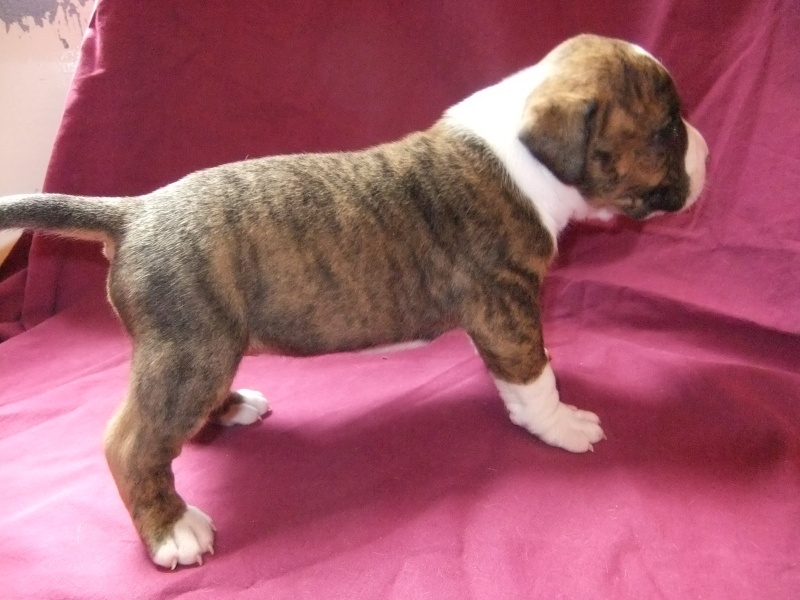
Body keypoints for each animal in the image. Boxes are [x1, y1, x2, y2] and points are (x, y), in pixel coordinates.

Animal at [0, 34, 708, 569]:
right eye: (666, 129)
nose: (706, 151)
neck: (521, 150)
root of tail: (133, 212)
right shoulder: (506, 307)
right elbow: (534, 377)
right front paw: (562, 425)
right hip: (189, 352)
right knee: (131, 443)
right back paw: (171, 530)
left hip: (205, 349)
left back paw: (231, 410)